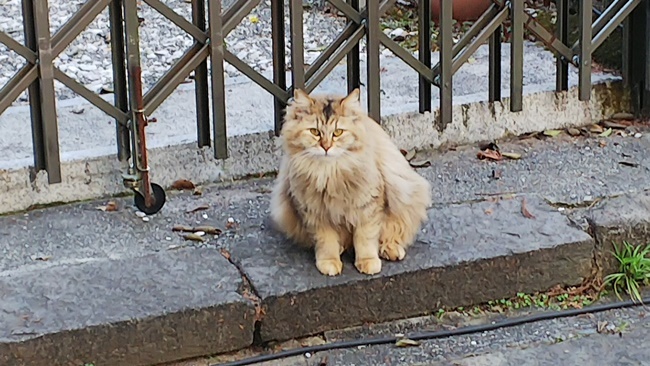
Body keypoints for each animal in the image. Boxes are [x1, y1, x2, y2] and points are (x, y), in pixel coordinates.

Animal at [268, 88, 430, 276]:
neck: (329, 173)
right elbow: (326, 241)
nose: (326, 147)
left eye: (338, 132)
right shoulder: (315, 212)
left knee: (393, 232)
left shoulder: (368, 206)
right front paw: (329, 262)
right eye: (315, 132)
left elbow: (365, 238)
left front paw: (367, 262)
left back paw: (390, 249)